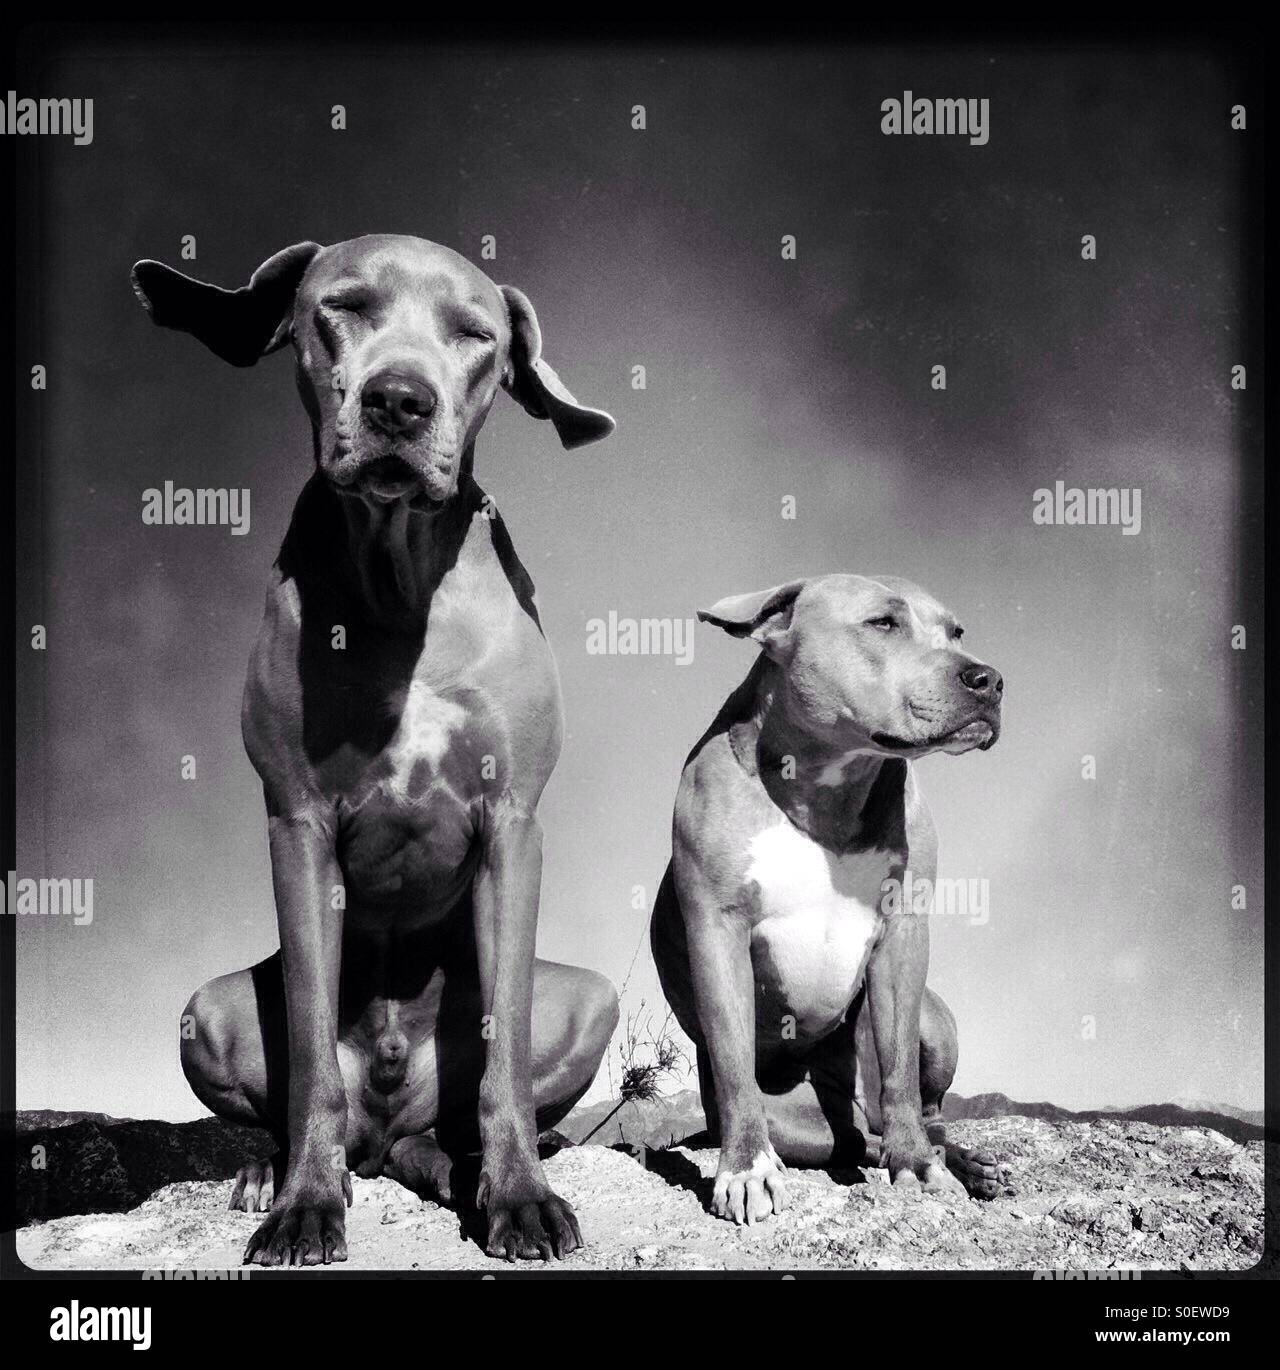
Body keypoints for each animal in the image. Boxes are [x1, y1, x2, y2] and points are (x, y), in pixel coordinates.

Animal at [132, 235, 624, 1260]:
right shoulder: (298, 823)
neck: (401, 586)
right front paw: (304, 1203)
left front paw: (522, 1194)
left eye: (475, 334)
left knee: (457, 1114)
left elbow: (505, 1059)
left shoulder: (514, 824)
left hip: (589, 997)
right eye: (344, 307)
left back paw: (464, 1160)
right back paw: (269, 1169)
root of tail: (392, 1126)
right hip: (208, 1009)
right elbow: (312, 1050)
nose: (401, 400)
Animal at [655, 572, 1008, 1227]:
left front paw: (918, 1167)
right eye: (882, 624)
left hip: (935, 1022)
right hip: (801, 1118)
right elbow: (736, 1065)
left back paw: (957, 1159)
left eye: (956, 632)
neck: (827, 787)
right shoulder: (718, 928)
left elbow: (898, 1074)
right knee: (850, 1138)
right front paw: (745, 1170)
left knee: (916, 1114)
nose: (989, 679)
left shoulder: (904, 934)